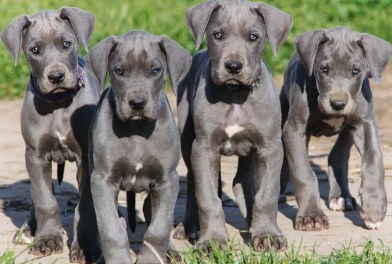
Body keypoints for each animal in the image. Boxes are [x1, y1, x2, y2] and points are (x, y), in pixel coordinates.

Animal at [0, 7, 101, 262]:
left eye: (66, 44)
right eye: (34, 50)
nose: (56, 77)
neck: (57, 104)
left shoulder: (87, 158)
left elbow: (86, 205)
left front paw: (85, 246)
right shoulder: (35, 155)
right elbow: (45, 200)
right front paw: (47, 238)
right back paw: (28, 229)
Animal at [86, 31, 192, 264]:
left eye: (155, 70)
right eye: (119, 71)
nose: (137, 103)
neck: (136, 129)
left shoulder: (168, 181)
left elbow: (159, 229)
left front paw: (151, 258)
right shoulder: (102, 181)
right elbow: (111, 230)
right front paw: (118, 259)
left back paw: (171, 252)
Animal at [174, 0, 290, 252]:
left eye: (253, 37)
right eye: (218, 35)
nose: (234, 66)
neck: (235, 94)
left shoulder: (270, 147)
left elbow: (267, 194)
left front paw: (267, 234)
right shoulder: (203, 148)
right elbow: (207, 197)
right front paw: (212, 240)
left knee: (242, 181)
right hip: (187, 140)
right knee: (192, 182)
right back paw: (189, 226)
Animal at [278, 27, 392, 231]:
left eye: (356, 71)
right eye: (324, 69)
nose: (338, 104)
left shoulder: (364, 123)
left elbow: (374, 159)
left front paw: (374, 207)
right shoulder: (295, 129)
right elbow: (303, 172)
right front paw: (311, 216)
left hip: (349, 129)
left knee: (337, 155)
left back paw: (341, 196)